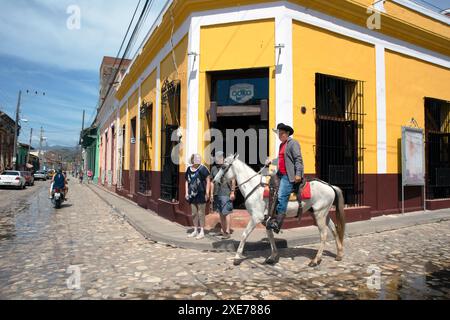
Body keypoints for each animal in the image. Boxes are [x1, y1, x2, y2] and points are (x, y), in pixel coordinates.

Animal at [213, 154, 346, 266]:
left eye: (223, 166)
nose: (214, 181)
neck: (254, 187)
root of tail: (330, 186)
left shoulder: (256, 217)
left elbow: (245, 234)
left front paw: (237, 257)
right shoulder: (267, 219)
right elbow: (270, 236)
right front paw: (273, 257)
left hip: (319, 214)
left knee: (323, 234)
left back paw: (315, 260)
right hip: (323, 214)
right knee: (334, 230)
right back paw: (339, 254)